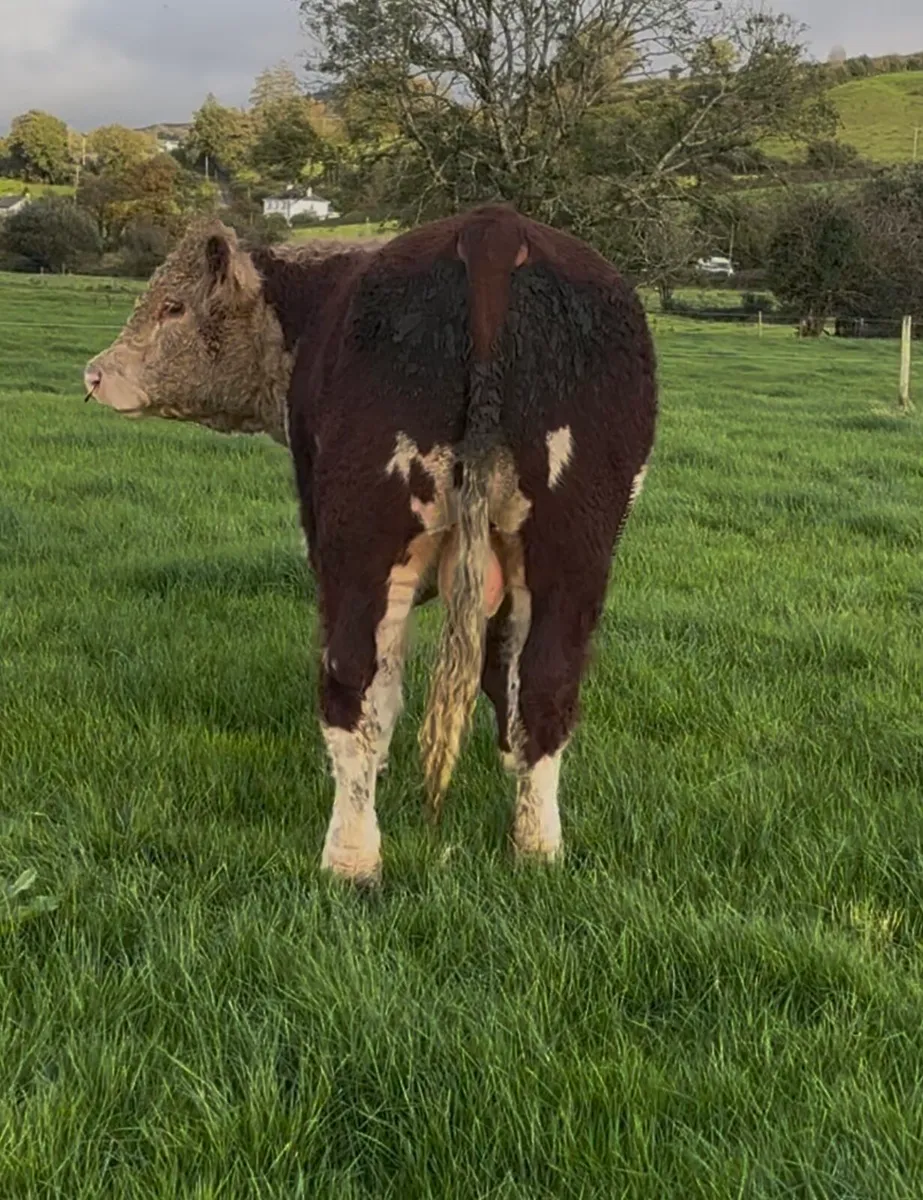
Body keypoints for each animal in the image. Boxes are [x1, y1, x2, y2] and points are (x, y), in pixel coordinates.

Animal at [84, 205, 658, 884]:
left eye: (173, 306)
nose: (94, 373)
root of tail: (493, 228)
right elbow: (499, 674)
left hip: (362, 548)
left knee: (353, 683)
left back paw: (352, 860)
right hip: (572, 551)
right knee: (548, 683)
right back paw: (536, 848)